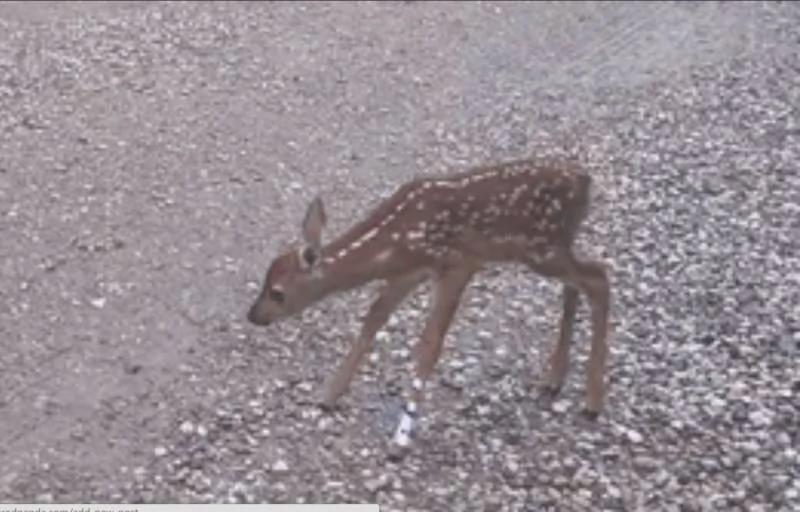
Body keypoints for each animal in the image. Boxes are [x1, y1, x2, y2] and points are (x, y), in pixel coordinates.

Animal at [246, 156, 611, 457]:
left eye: (277, 293)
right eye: (264, 279)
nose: (252, 316)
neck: (396, 241)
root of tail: (586, 180)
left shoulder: (458, 263)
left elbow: (429, 344)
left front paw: (401, 438)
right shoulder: (409, 273)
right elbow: (373, 318)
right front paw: (329, 396)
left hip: (543, 246)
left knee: (599, 277)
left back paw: (593, 401)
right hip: (549, 249)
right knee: (578, 283)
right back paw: (555, 378)